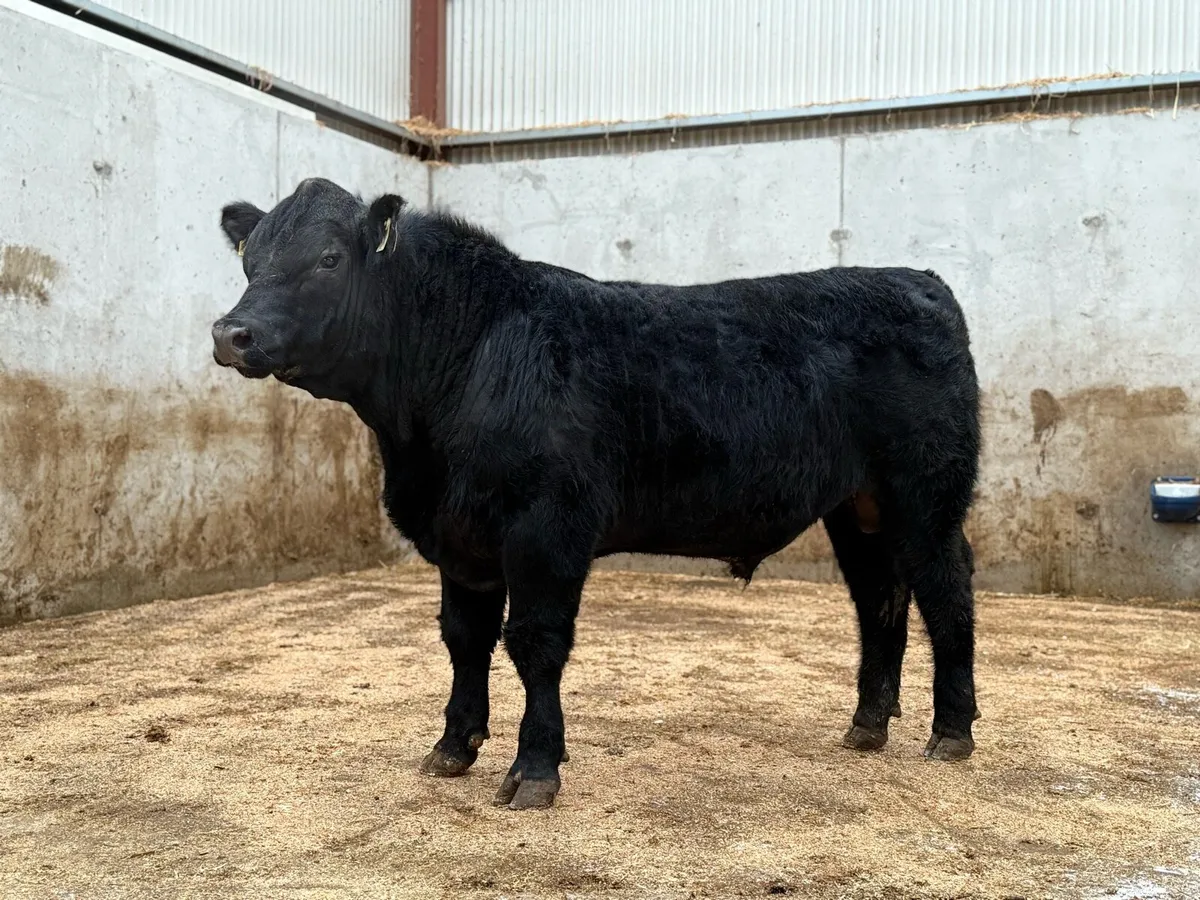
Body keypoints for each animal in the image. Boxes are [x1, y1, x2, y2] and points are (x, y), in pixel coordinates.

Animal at [211, 177, 981, 811]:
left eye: (328, 260)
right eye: (250, 261)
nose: (231, 332)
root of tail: (917, 280)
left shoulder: (546, 527)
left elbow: (534, 642)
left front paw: (534, 769)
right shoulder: (459, 537)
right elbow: (464, 639)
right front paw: (453, 747)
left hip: (927, 494)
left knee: (945, 594)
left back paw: (950, 732)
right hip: (859, 509)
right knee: (879, 599)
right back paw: (867, 726)